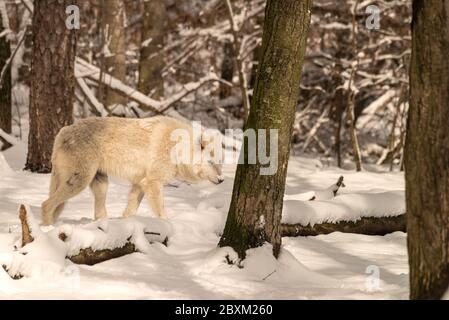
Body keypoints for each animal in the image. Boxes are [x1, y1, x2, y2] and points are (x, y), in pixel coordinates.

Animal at [41, 115, 223, 225]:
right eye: (211, 162)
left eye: (220, 163)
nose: (222, 180)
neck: (177, 147)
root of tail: (62, 132)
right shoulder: (153, 183)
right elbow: (161, 210)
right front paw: (168, 225)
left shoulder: (140, 183)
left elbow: (131, 209)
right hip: (80, 182)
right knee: (46, 204)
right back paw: (49, 229)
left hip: (100, 184)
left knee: (97, 213)